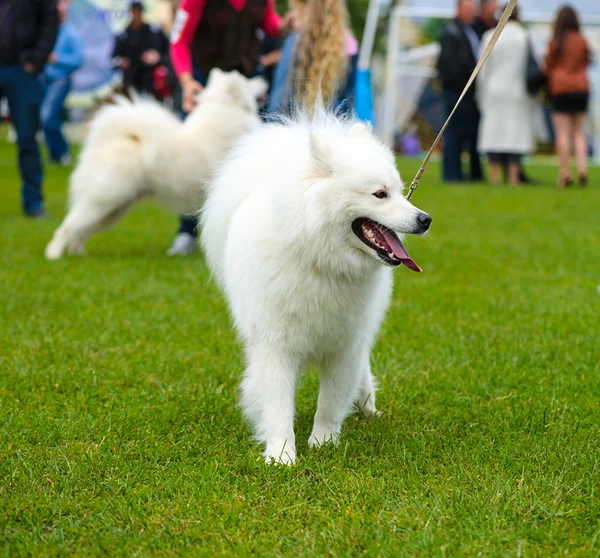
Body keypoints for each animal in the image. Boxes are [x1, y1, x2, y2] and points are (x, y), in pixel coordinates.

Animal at [44, 70, 264, 260]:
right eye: (248, 81)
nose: (263, 78)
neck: (226, 110)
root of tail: (106, 140)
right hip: (103, 201)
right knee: (67, 226)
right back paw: (54, 255)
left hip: (113, 209)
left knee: (81, 230)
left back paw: (78, 253)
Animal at [202, 108, 432, 464]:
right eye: (380, 194)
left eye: (399, 191)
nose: (425, 219)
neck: (319, 259)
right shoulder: (275, 345)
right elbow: (279, 405)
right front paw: (281, 455)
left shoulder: (345, 345)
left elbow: (330, 403)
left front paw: (322, 442)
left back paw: (367, 405)